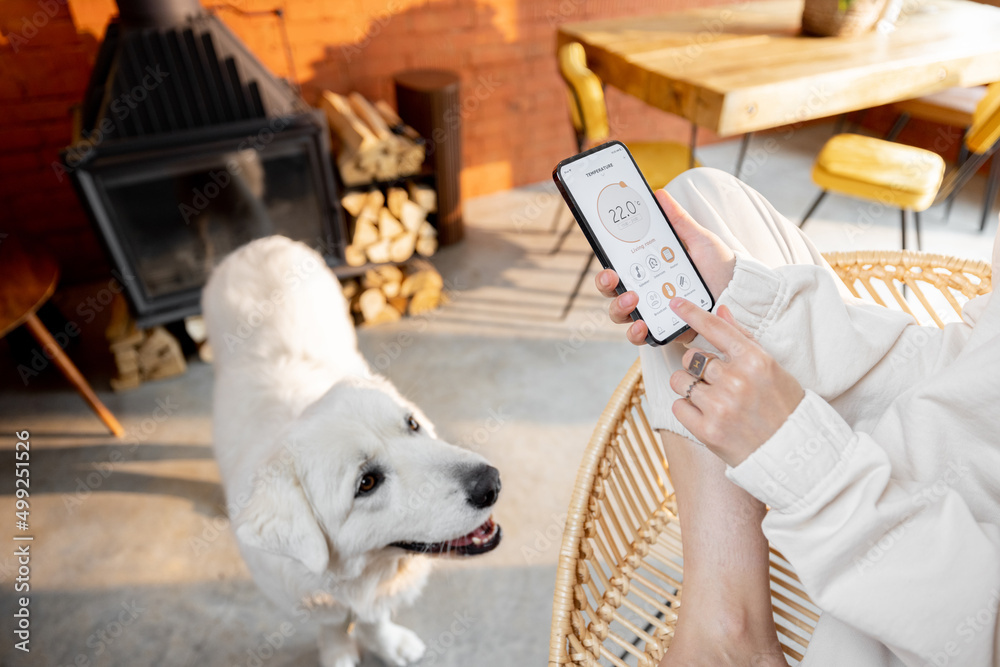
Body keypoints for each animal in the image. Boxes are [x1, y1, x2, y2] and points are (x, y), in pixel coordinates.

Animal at [202, 237, 500, 664]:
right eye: (367, 483)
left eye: (411, 425)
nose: (491, 483)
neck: (360, 577)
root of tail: (259, 242)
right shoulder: (310, 601)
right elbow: (333, 627)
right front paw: (340, 653)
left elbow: (375, 619)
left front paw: (387, 644)